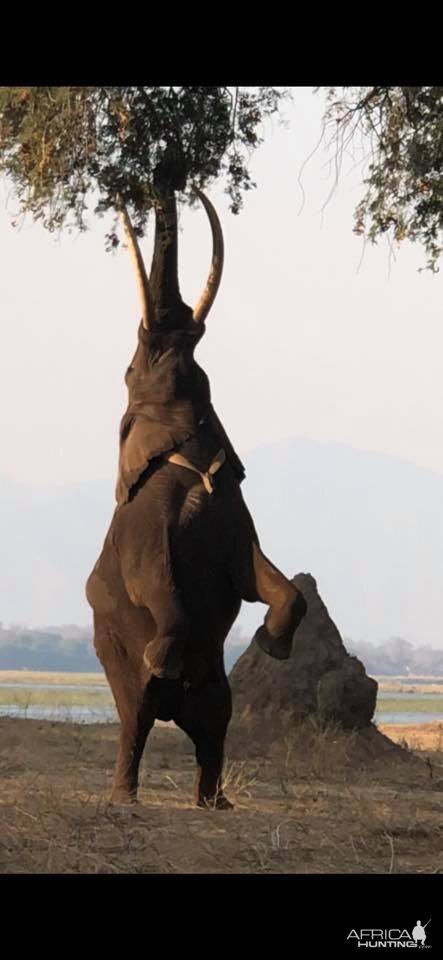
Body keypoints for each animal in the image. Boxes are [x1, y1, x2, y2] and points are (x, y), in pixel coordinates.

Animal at [86, 178, 308, 808]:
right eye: (135, 363)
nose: (168, 181)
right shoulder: (143, 524)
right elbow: (155, 578)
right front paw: (163, 658)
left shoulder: (232, 508)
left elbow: (266, 575)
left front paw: (274, 647)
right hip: (115, 658)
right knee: (135, 716)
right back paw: (125, 794)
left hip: (218, 692)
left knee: (215, 725)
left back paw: (216, 802)